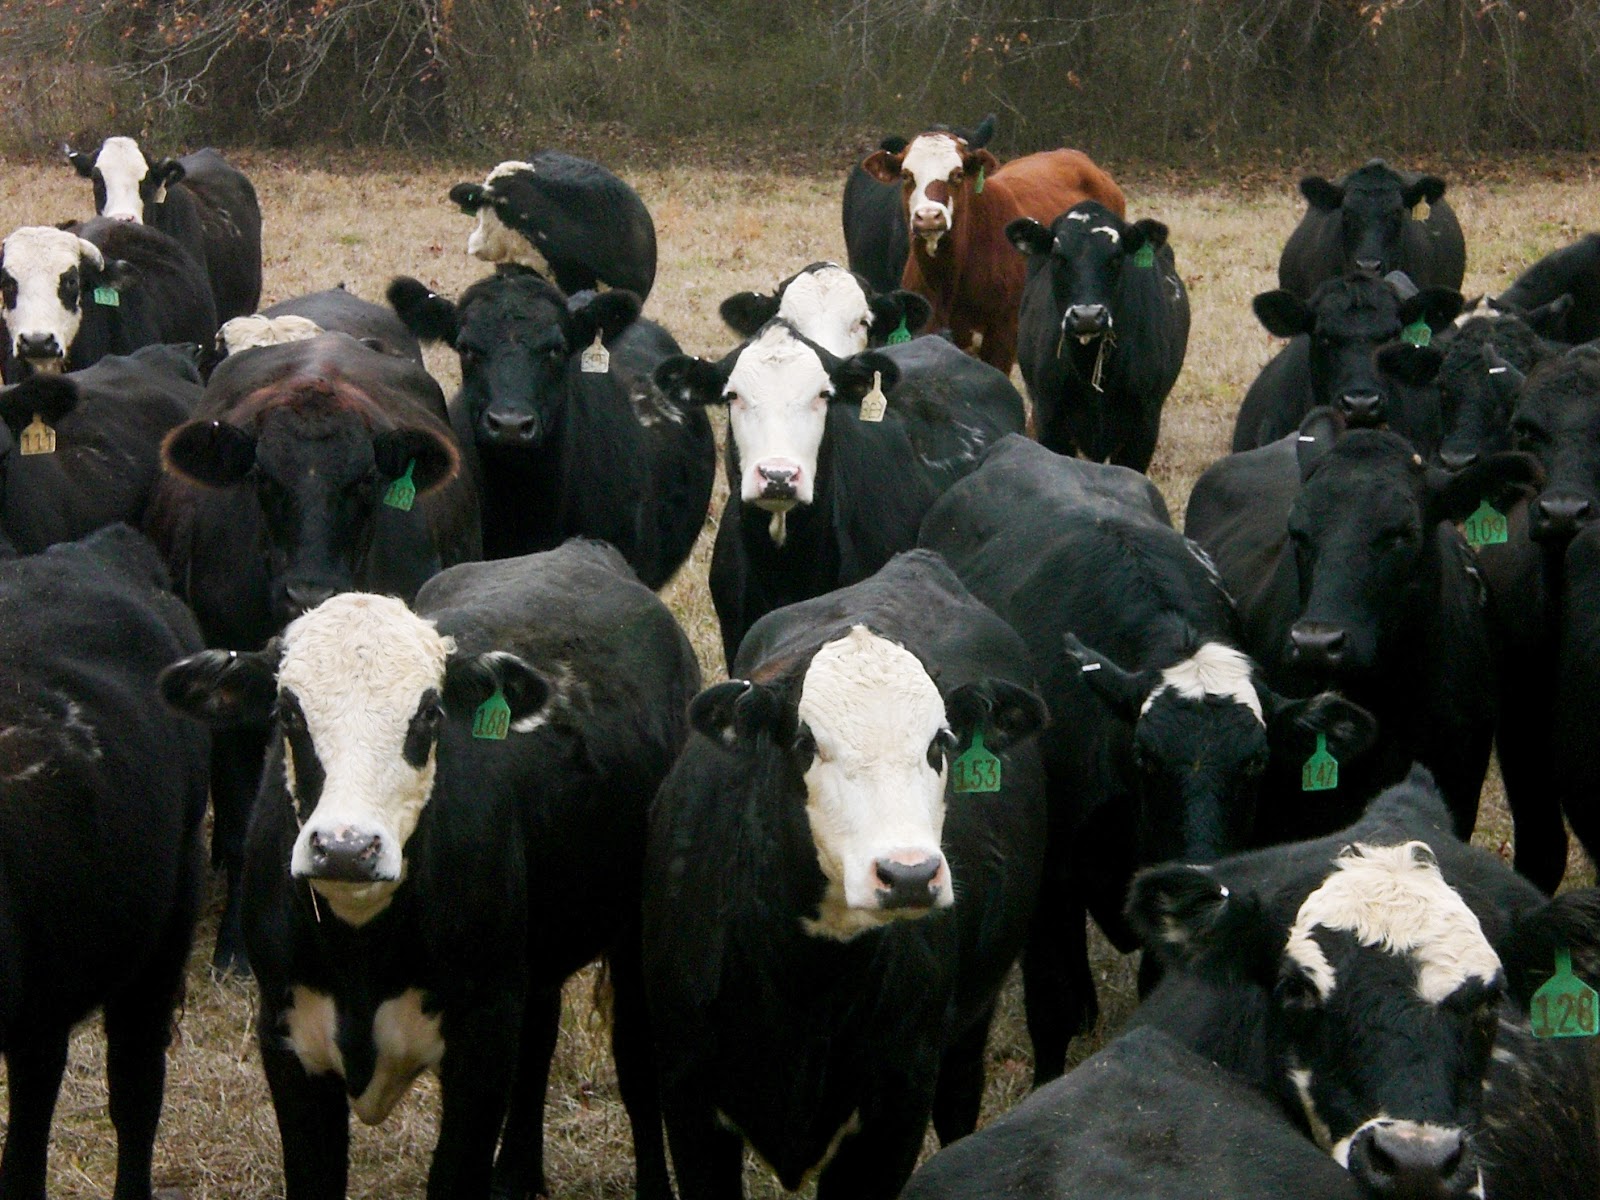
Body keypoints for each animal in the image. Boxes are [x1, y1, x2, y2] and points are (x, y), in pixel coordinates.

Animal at [160, 540, 698, 1200]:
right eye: (288, 712)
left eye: (429, 713)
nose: (346, 847)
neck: (361, 945)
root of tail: (580, 548)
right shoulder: (285, 1035)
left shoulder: (481, 1042)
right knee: (541, 1033)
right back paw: (516, 1175)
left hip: (632, 933)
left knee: (637, 1062)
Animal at [644, 549, 1048, 1200]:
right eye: (806, 742)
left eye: (940, 742)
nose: (908, 875)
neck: (804, 982)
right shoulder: (686, 1094)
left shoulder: (897, 1108)